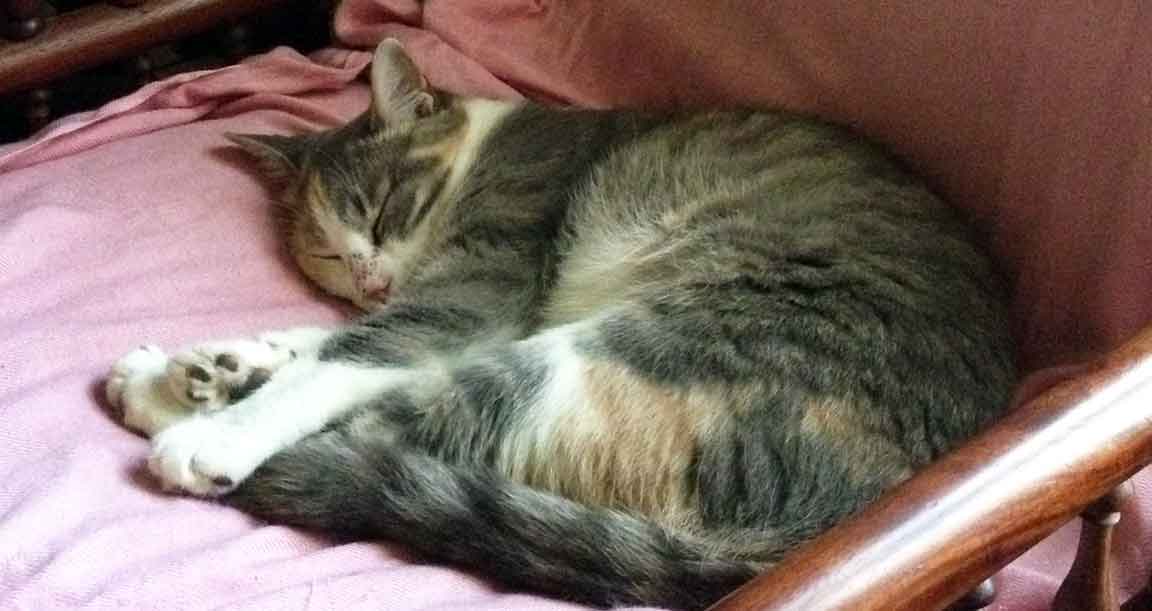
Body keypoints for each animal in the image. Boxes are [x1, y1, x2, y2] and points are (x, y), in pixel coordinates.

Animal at [103, 40, 1013, 604]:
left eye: (384, 207)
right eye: (324, 250)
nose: (364, 275)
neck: (480, 148)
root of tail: (834, 522)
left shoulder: (478, 289)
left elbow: (351, 355)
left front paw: (219, 420)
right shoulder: (446, 305)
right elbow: (326, 339)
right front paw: (228, 359)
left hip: (662, 339)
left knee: (410, 419)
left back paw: (185, 412)